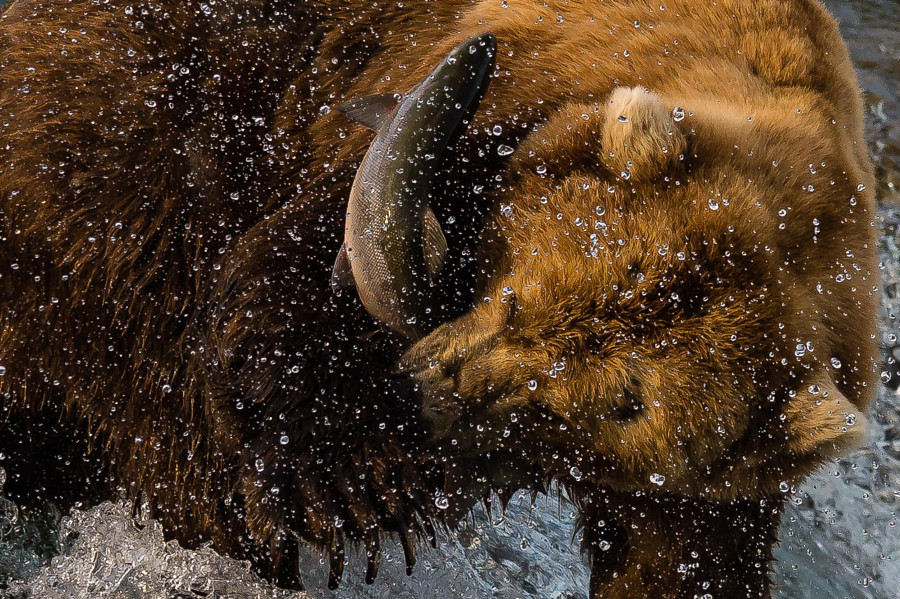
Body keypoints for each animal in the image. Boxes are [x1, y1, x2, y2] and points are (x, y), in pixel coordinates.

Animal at [0, 0, 876, 596]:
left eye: (617, 403)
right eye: (521, 298)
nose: (427, 395)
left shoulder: (713, 493)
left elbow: (681, 561)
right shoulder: (465, 103)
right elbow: (284, 291)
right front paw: (355, 475)